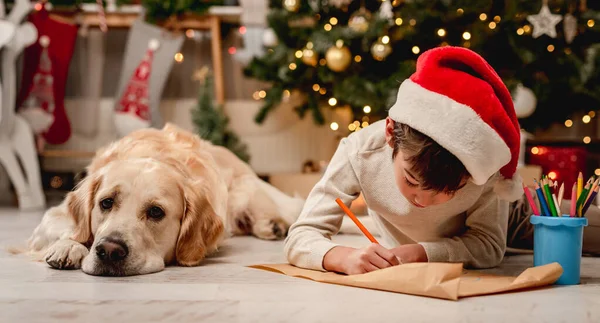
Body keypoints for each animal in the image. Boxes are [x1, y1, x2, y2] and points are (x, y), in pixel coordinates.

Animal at [19, 123, 304, 276]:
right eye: (106, 203)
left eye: (156, 212)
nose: (109, 251)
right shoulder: (54, 215)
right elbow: (67, 227)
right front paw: (69, 246)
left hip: (248, 188)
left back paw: (272, 224)